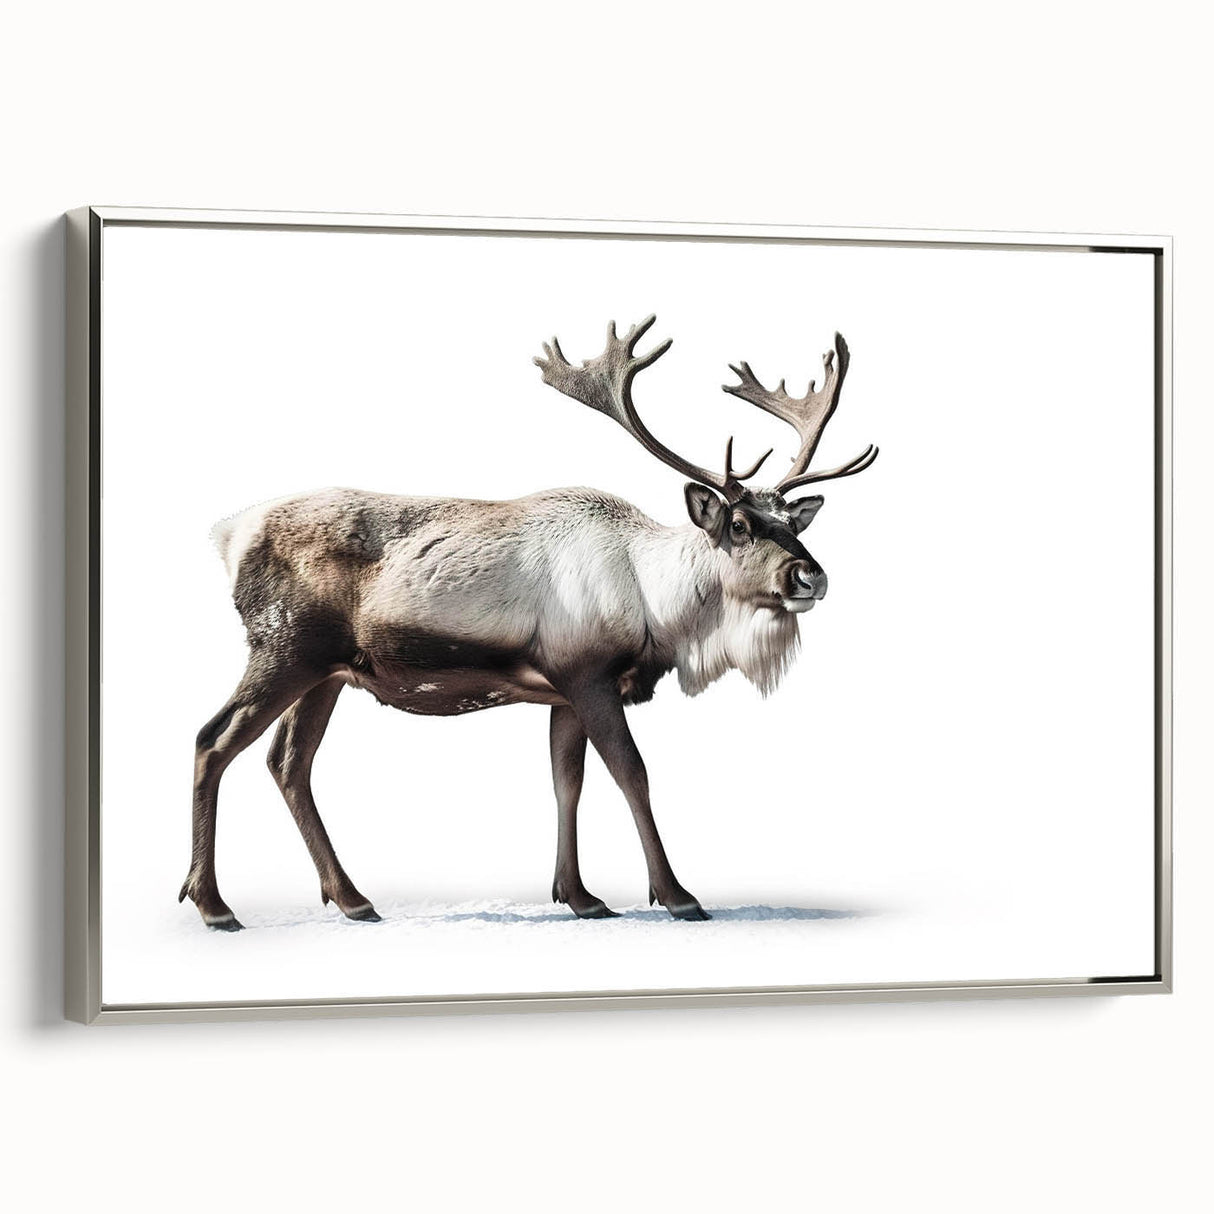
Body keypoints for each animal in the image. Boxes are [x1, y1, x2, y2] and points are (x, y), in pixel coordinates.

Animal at [180, 316, 878, 930]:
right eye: (738, 524)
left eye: (792, 522)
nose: (810, 577)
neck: (655, 606)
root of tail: (228, 534)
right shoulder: (589, 676)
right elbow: (633, 773)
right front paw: (678, 895)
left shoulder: (562, 692)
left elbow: (566, 780)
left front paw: (581, 896)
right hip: (283, 649)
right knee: (214, 740)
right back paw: (214, 905)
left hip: (327, 673)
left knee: (288, 761)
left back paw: (352, 899)